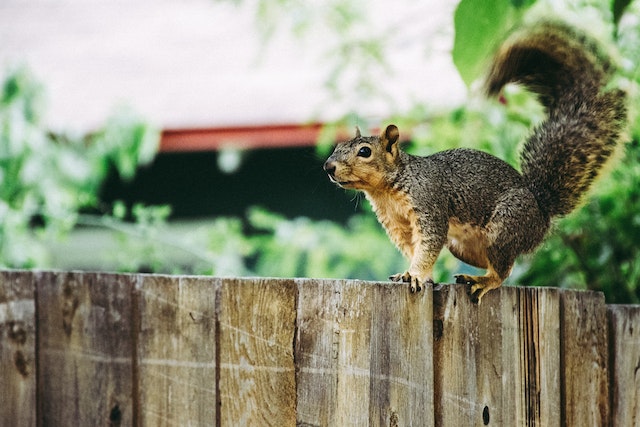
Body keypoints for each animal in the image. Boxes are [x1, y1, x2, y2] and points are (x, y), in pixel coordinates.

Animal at [322, 21, 628, 302]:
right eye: (336, 147)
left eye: (364, 152)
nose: (328, 167)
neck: (387, 189)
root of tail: (542, 210)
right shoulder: (397, 225)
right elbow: (412, 248)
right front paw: (416, 274)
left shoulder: (429, 204)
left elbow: (428, 245)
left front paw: (415, 274)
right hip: (464, 246)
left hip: (505, 226)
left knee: (504, 270)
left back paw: (483, 281)